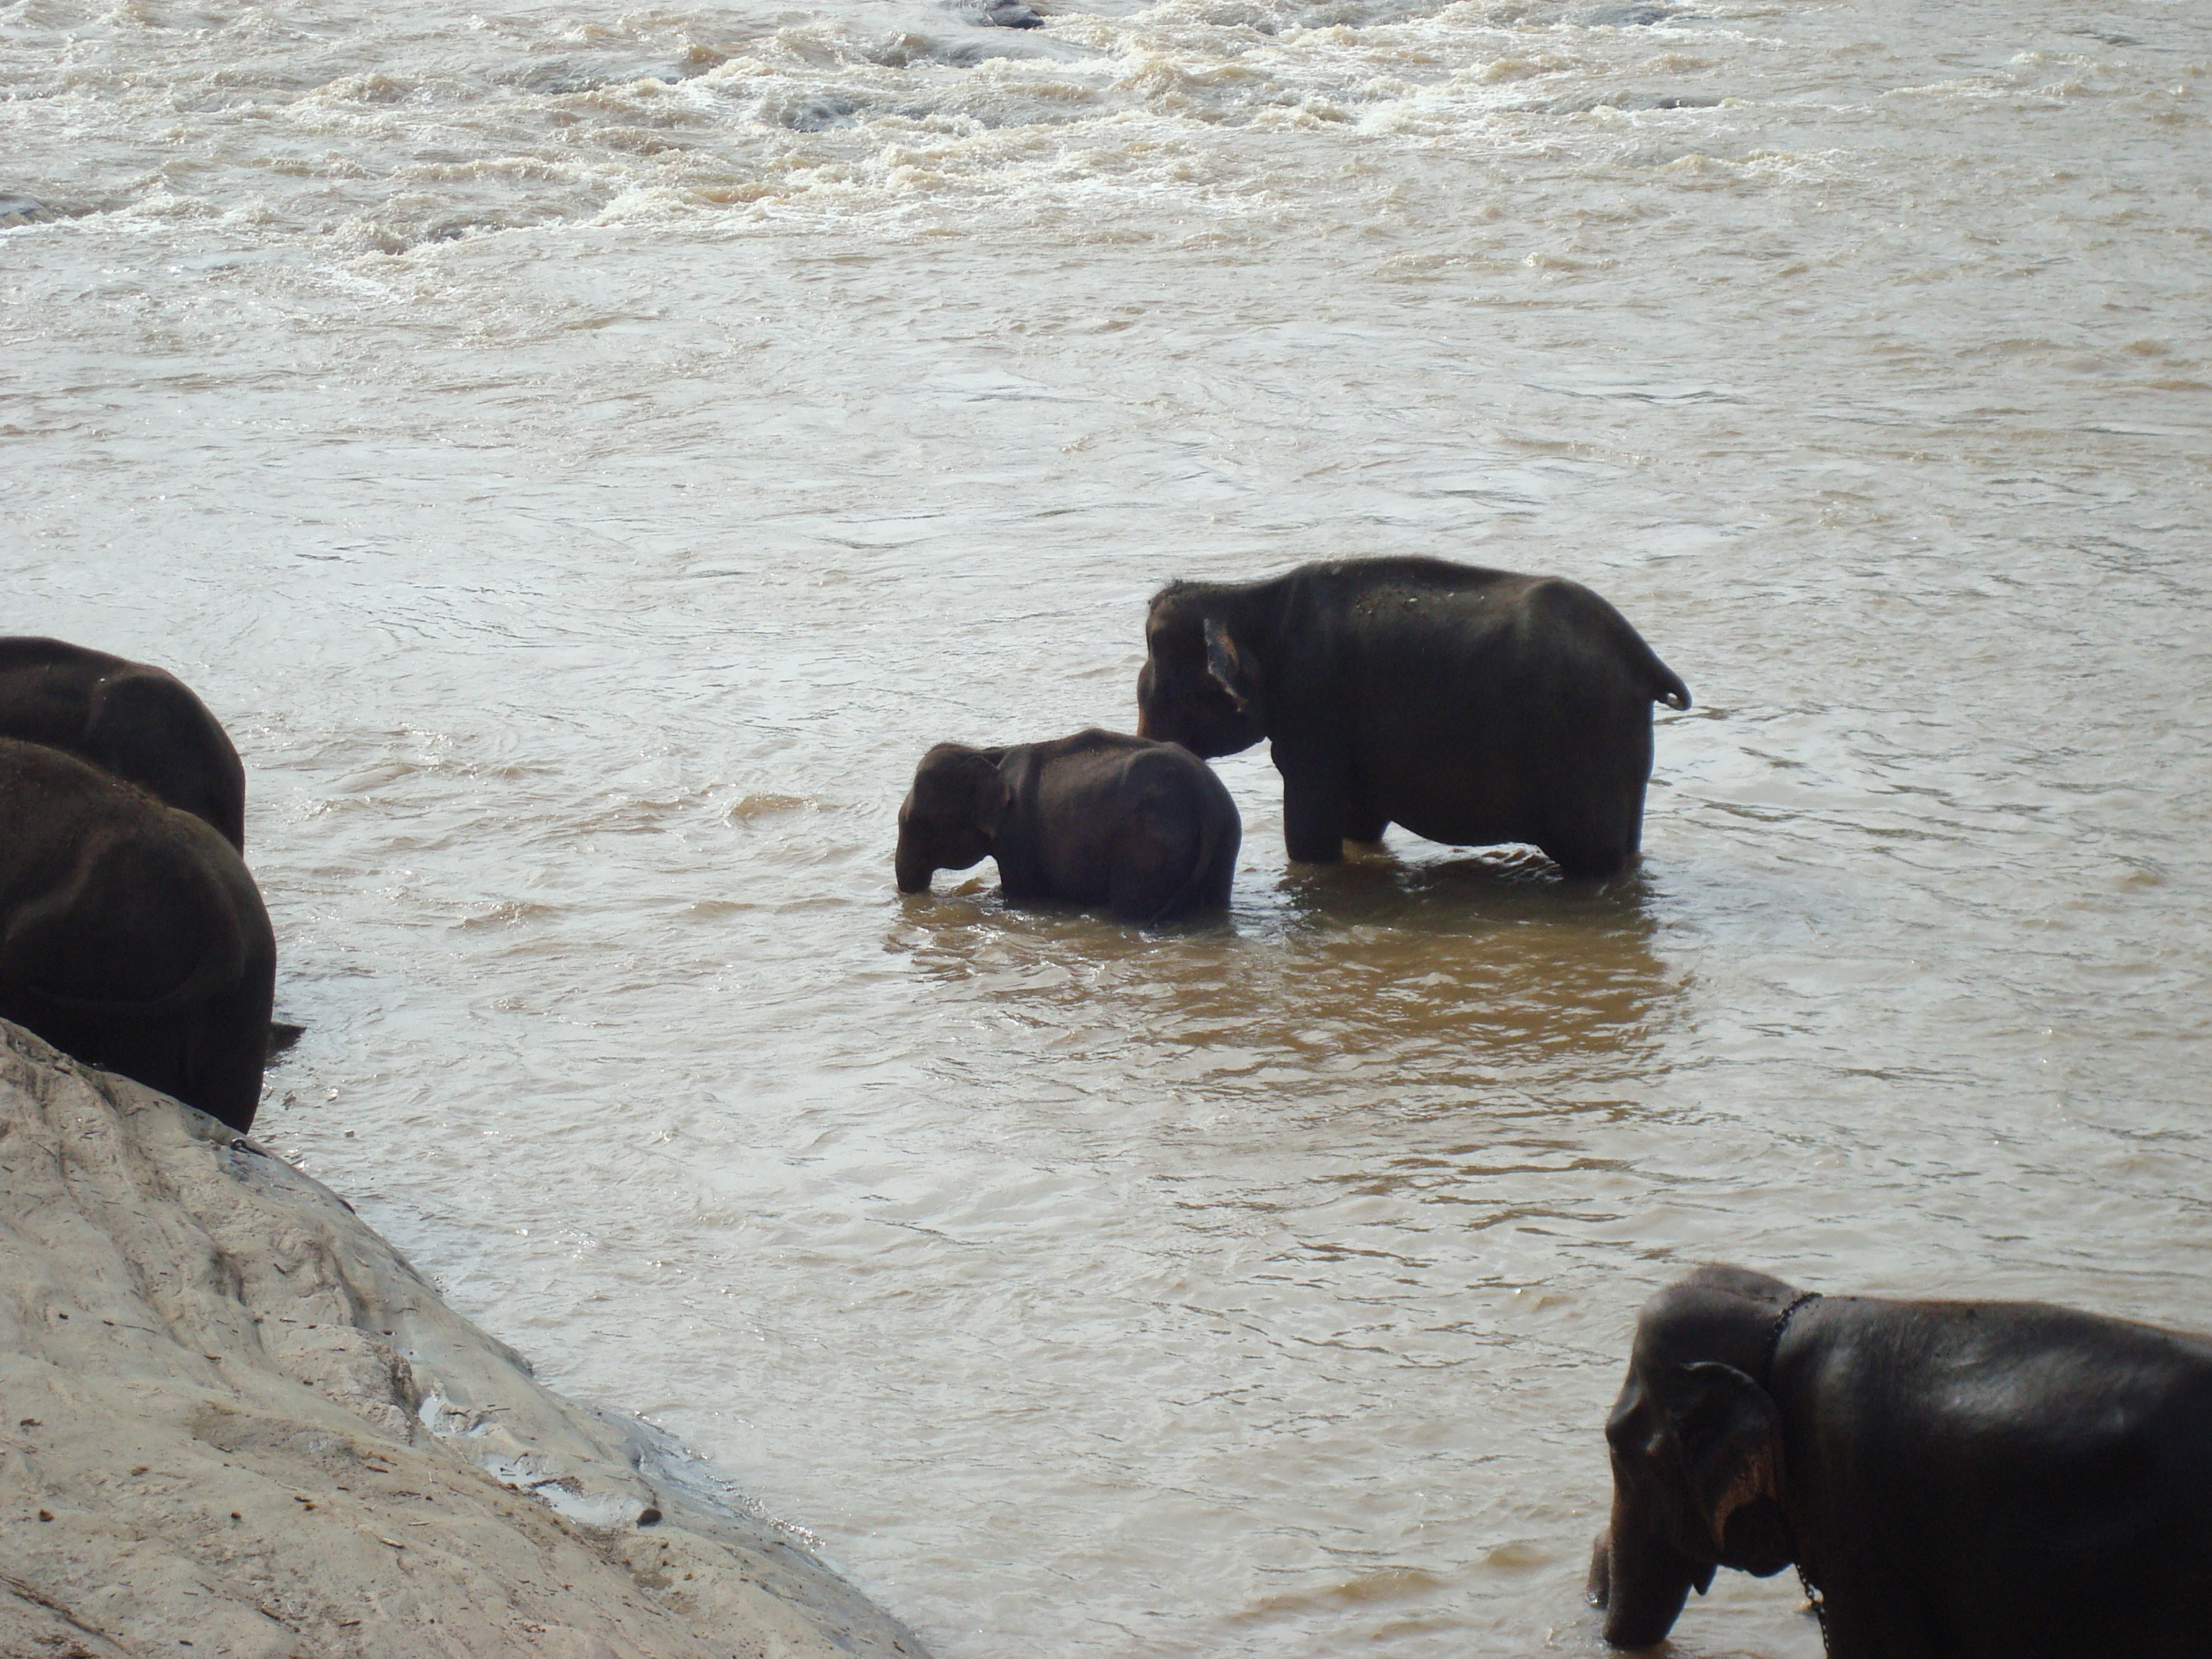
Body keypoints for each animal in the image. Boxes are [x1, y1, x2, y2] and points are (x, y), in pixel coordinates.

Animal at [898, 729, 1247, 929]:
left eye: (916, 823)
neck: (987, 754)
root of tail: (1205, 797)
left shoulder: (1017, 833)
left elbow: (1021, 892)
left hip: (1149, 846)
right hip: (1225, 844)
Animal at [1132, 559, 1681, 876]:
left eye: (1156, 657)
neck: (1246, 596)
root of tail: (1644, 659)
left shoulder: (1315, 714)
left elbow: (1310, 834)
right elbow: (1360, 822)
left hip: (1585, 743)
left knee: (1593, 857)